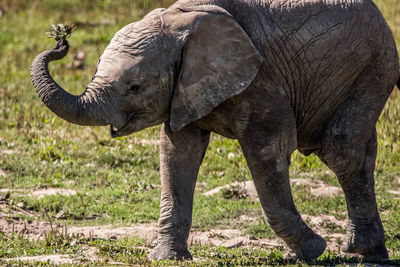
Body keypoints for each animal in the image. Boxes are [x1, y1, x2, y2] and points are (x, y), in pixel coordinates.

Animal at [32, 0, 400, 262]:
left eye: (135, 87)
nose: (61, 38)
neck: (177, 21)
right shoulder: (183, 90)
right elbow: (177, 154)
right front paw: (167, 258)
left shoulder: (262, 81)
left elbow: (268, 153)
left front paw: (314, 251)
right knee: (363, 153)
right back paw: (373, 254)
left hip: (373, 63)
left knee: (340, 149)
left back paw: (356, 251)